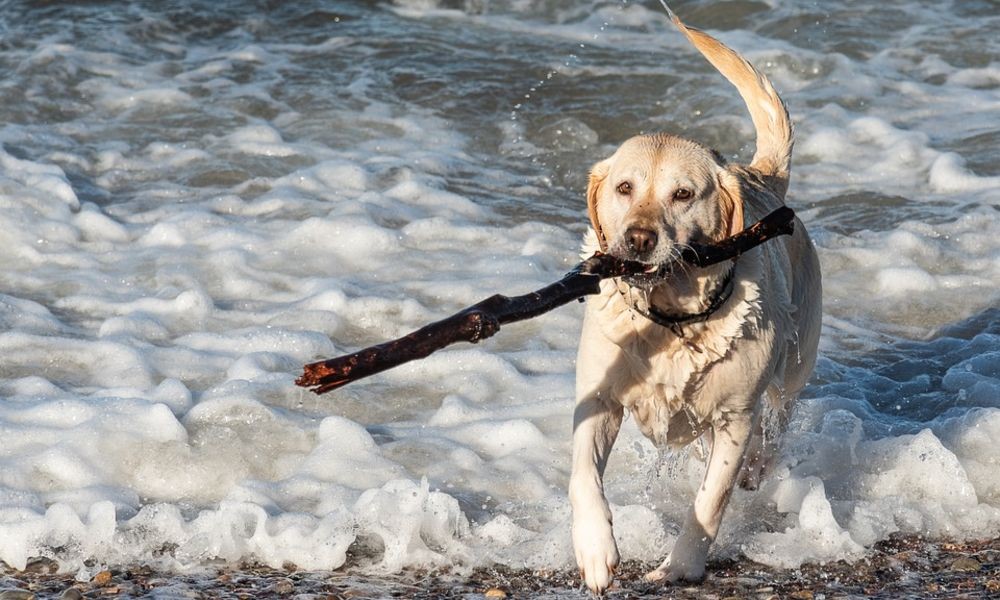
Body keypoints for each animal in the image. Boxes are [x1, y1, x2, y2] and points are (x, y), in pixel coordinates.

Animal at [572, 7, 820, 592]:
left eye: (683, 194)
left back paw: (758, 467)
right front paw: (595, 550)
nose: (638, 239)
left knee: (779, 420)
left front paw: (679, 566)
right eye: (624, 188)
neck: (671, 322)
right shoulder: (597, 399)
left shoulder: (734, 419)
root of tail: (760, 176)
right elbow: (583, 478)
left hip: (794, 363)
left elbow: (709, 502)